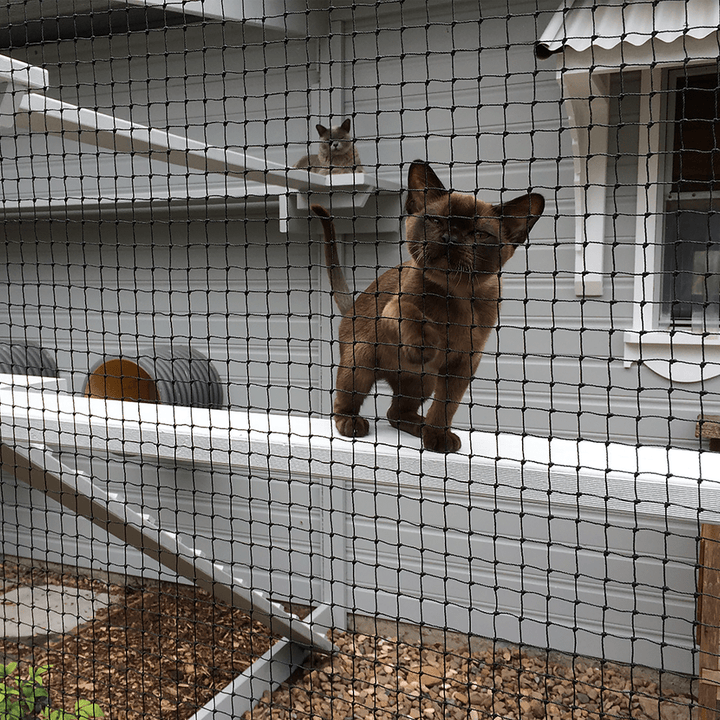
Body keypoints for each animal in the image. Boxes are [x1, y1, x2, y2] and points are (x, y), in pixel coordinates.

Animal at [312, 163, 544, 452]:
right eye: (435, 220)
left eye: (479, 234)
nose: (450, 238)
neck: (455, 296)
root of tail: (351, 308)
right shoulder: (393, 308)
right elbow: (412, 313)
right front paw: (426, 344)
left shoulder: (463, 363)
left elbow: (446, 406)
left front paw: (437, 437)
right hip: (360, 363)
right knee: (343, 403)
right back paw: (352, 423)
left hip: (422, 381)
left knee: (396, 413)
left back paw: (421, 428)